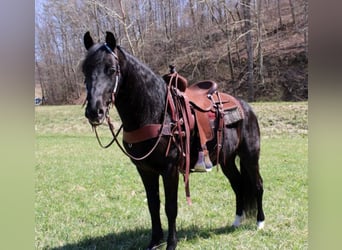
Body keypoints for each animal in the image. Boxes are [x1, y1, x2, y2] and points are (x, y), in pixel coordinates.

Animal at [82, 31, 264, 250]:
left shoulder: (170, 169)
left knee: (257, 185)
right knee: (238, 185)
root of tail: (246, 107)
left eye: (111, 69)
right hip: (227, 159)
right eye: (84, 70)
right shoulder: (145, 170)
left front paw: (171, 244)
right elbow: (153, 205)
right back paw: (236, 221)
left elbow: (171, 207)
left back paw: (260, 223)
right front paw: (154, 241)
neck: (155, 110)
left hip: (250, 156)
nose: (95, 111)